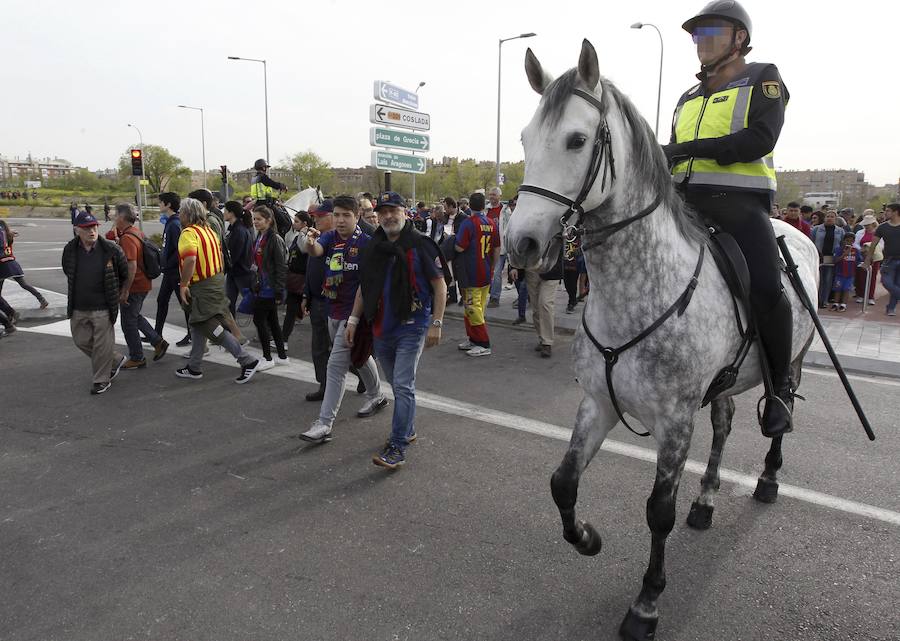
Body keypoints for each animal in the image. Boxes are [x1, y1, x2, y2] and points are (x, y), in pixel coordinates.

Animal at [506, 41, 824, 640]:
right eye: (524, 139)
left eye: (577, 140)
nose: (522, 244)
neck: (638, 292)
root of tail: (796, 232)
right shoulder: (598, 402)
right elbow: (563, 483)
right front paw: (587, 537)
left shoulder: (676, 420)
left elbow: (658, 512)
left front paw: (646, 605)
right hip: (724, 384)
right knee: (723, 426)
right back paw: (707, 499)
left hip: (792, 357)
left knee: (783, 406)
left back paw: (769, 476)